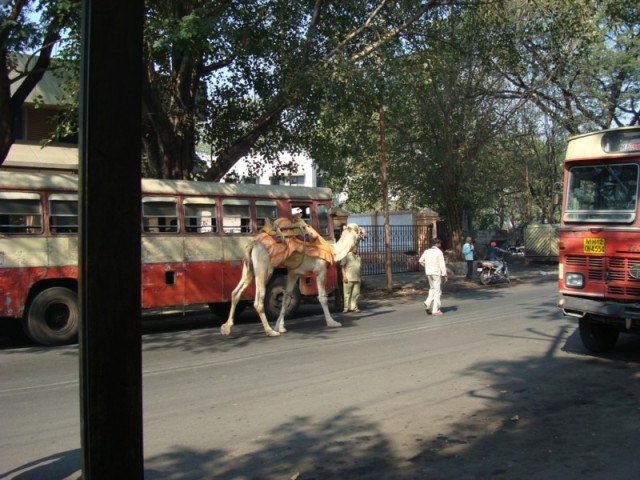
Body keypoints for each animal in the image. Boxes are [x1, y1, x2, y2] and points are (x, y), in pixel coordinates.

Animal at [221, 222, 368, 338]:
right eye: (357, 229)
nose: (365, 233)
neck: (332, 250)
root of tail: (253, 244)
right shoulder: (320, 270)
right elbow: (322, 297)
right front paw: (332, 322)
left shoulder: (294, 272)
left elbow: (286, 298)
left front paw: (280, 326)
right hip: (263, 268)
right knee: (258, 301)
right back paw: (270, 331)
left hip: (248, 269)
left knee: (235, 292)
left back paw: (226, 328)